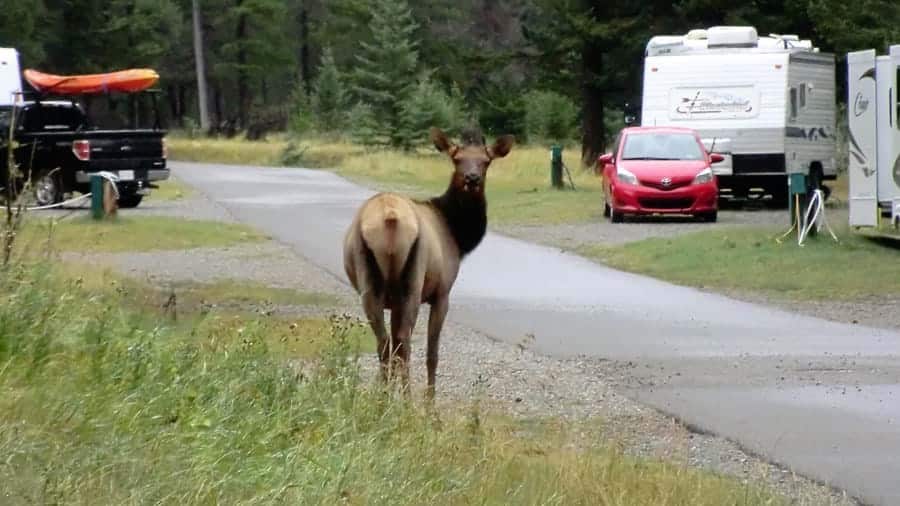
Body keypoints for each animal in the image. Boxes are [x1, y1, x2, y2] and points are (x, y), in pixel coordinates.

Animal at [342, 126, 512, 400]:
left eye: (486, 161)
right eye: (457, 159)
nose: (472, 178)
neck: (459, 236)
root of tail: (390, 218)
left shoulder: (394, 301)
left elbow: (393, 345)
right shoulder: (442, 292)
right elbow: (433, 354)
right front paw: (430, 404)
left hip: (369, 282)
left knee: (385, 342)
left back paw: (383, 400)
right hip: (414, 279)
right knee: (404, 342)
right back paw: (407, 402)